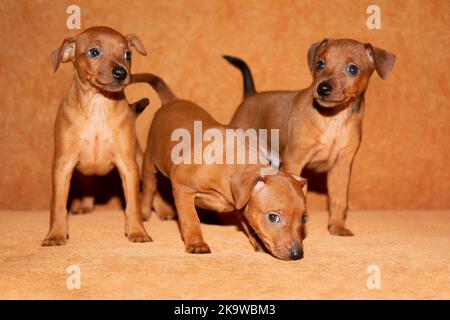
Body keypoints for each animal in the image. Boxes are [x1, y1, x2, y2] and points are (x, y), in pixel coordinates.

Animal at [41, 27, 152, 246]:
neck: (98, 106)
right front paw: (55, 234)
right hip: (83, 172)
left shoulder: (128, 167)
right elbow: (58, 206)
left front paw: (137, 231)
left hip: (140, 161)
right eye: (94, 52)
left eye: (128, 54)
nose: (121, 73)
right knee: (89, 185)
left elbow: (133, 205)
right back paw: (85, 206)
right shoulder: (63, 166)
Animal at [137, 74, 308, 262]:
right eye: (273, 217)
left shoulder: (240, 205)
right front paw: (196, 243)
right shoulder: (182, 186)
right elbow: (190, 219)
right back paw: (144, 213)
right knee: (149, 187)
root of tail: (172, 100)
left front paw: (257, 243)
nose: (297, 254)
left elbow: (248, 223)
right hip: (150, 161)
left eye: (304, 218)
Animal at [224, 39, 394, 235]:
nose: (323, 88)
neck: (333, 119)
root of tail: (250, 97)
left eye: (353, 69)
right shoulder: (295, 159)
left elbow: (339, 199)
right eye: (320, 64)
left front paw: (337, 226)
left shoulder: (341, 166)